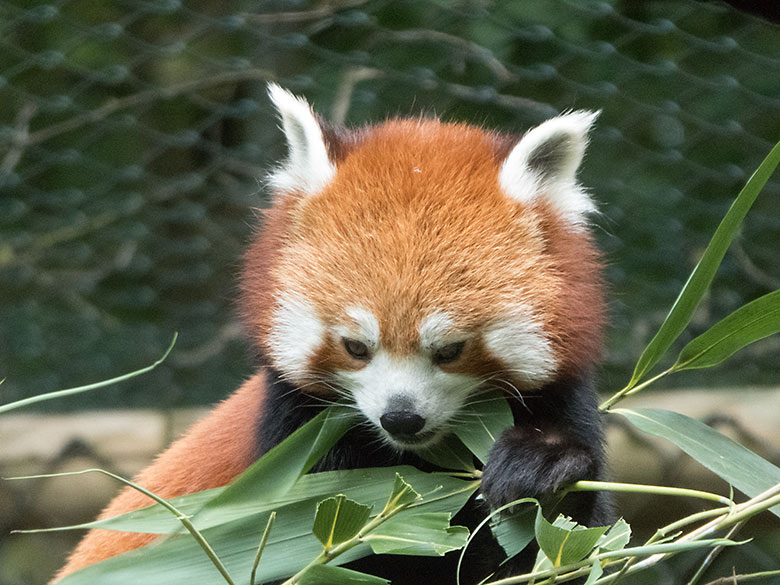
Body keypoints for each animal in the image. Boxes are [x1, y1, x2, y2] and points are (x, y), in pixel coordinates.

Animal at [53, 84, 608, 580]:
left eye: (450, 350)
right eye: (355, 347)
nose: (400, 418)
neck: (420, 460)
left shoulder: (564, 398)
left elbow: (567, 543)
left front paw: (541, 466)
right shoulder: (294, 451)